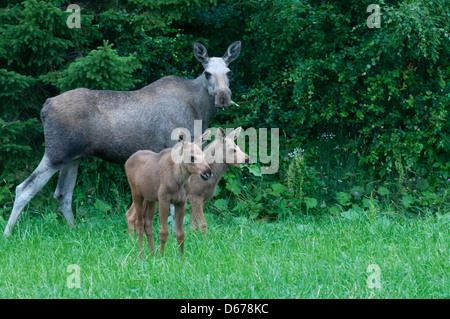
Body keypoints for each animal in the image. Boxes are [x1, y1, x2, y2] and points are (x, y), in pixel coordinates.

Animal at [3, 40, 241, 238]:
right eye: (207, 73)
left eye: (229, 72)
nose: (223, 97)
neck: (200, 110)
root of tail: (45, 106)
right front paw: (176, 235)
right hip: (56, 153)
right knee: (24, 189)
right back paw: (7, 234)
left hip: (72, 158)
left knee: (62, 194)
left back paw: (74, 230)